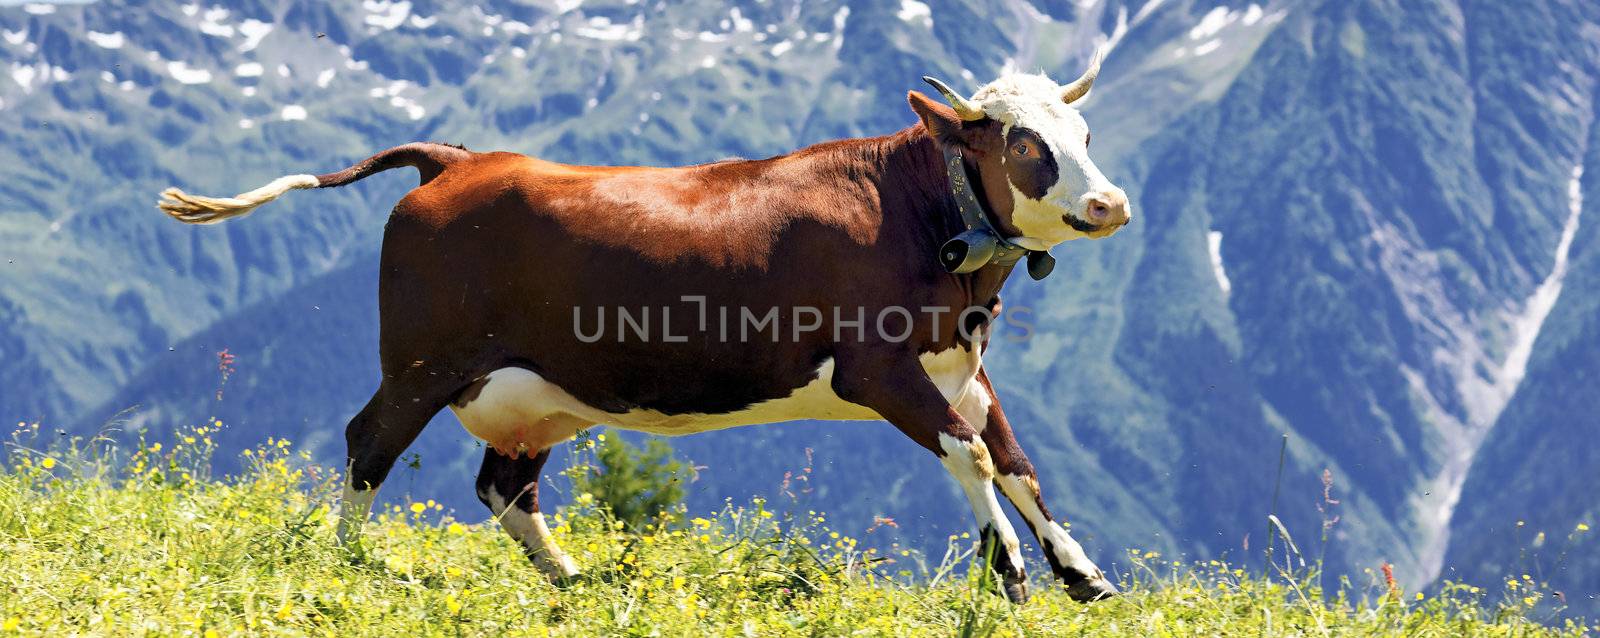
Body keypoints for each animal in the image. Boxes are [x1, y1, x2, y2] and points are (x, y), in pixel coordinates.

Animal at [159, 53, 1126, 604]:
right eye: (1023, 144)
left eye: (1082, 131)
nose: (1110, 203)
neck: (920, 217)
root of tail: (460, 160)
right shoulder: (877, 367)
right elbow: (972, 455)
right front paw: (1010, 573)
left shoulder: (960, 360)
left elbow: (1017, 461)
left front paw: (1082, 573)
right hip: (423, 362)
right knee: (370, 443)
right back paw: (349, 564)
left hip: (530, 392)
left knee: (503, 484)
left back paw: (572, 581)